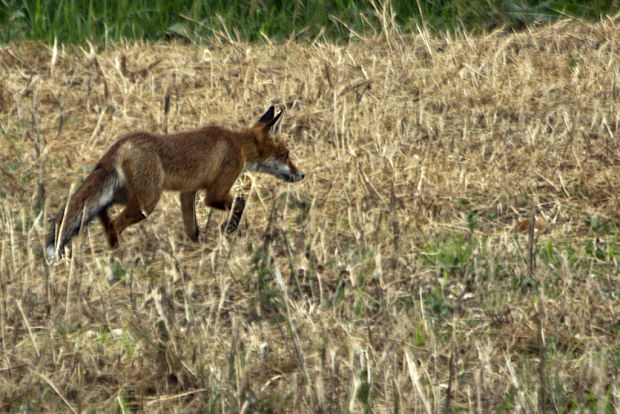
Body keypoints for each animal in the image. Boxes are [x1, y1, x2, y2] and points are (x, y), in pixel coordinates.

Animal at [44, 106, 304, 262]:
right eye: (287, 154)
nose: (301, 175)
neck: (238, 145)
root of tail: (122, 143)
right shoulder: (215, 192)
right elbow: (240, 202)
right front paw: (228, 229)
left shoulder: (187, 193)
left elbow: (192, 228)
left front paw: (196, 248)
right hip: (146, 203)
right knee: (114, 223)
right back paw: (119, 255)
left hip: (124, 195)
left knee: (98, 211)